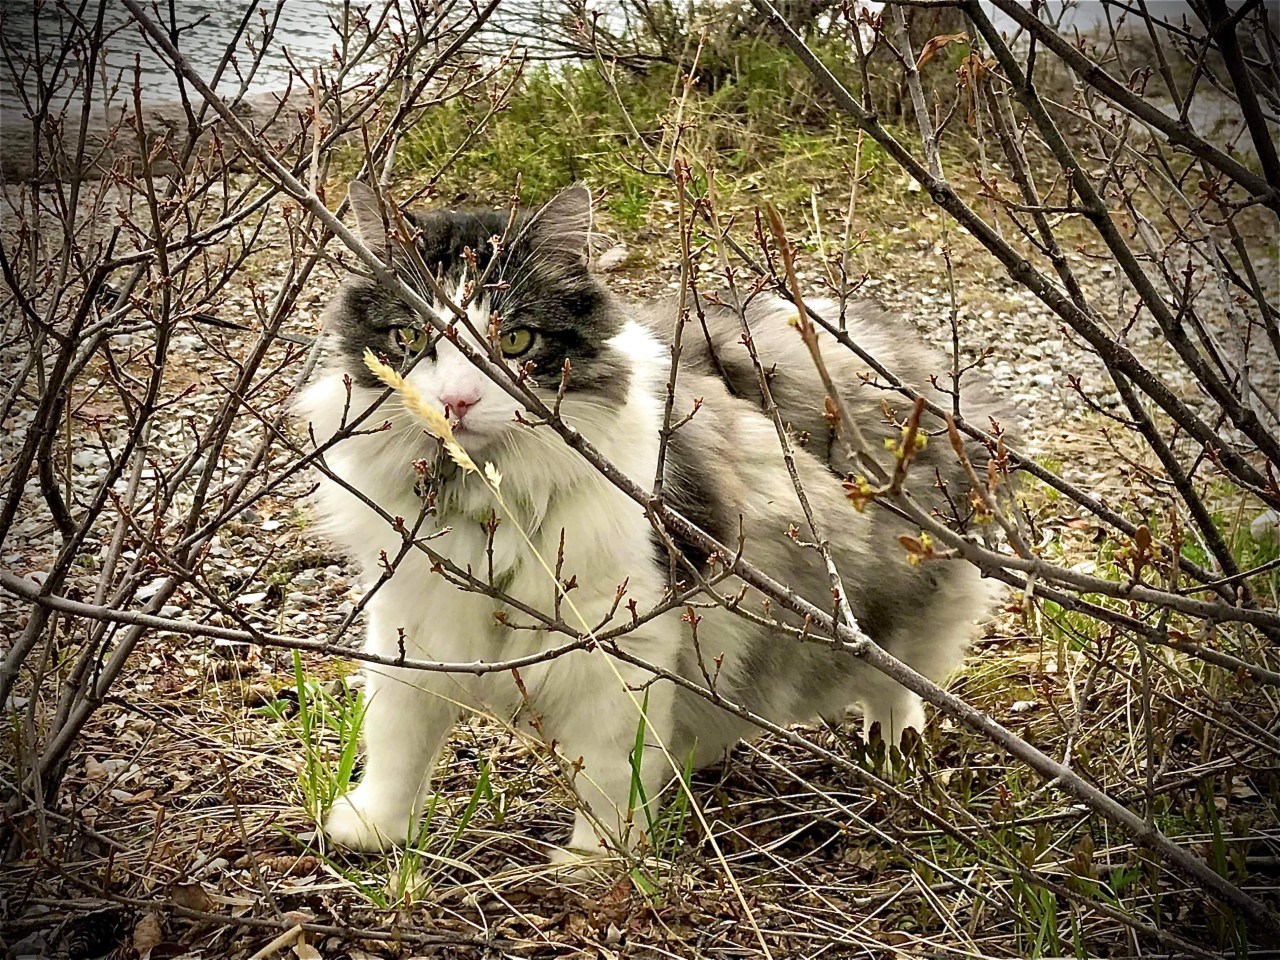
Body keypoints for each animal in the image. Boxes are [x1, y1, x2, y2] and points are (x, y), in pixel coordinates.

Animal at [294, 180, 1003, 865]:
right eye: (409, 340)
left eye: (514, 341)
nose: (455, 403)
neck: (485, 492)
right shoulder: (412, 618)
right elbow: (396, 735)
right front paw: (373, 830)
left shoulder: (616, 640)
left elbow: (609, 768)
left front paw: (601, 859)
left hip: (887, 609)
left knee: (897, 685)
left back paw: (893, 755)